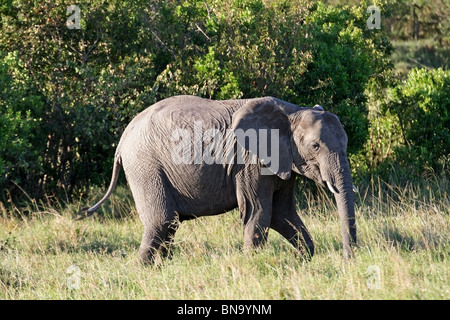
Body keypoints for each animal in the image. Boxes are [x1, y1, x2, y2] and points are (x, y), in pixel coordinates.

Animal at [78, 95, 358, 262]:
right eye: (315, 146)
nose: (349, 259)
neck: (293, 112)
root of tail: (123, 138)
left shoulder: (285, 161)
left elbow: (283, 214)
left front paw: (303, 261)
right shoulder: (249, 161)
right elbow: (259, 212)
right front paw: (252, 267)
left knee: (168, 224)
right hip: (145, 166)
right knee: (162, 221)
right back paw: (143, 272)